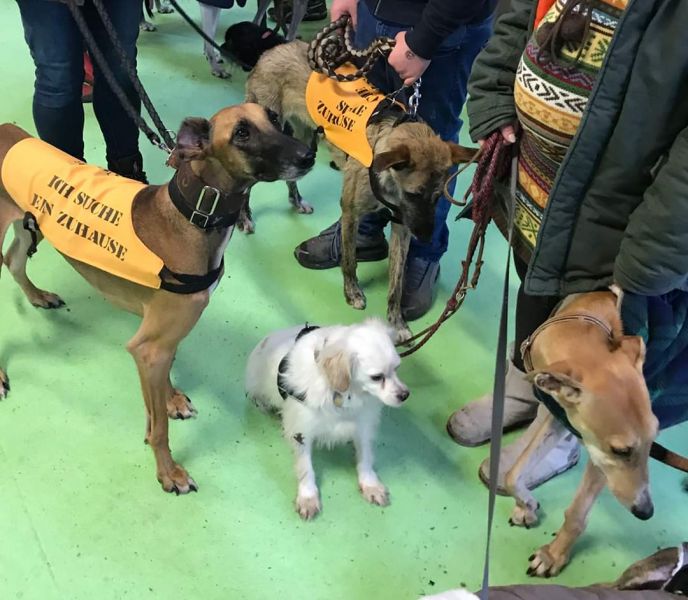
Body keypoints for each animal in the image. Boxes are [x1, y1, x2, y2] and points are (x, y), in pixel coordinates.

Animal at [0, 104, 314, 494]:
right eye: (241, 133)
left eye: (273, 117)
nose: (308, 155)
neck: (193, 216)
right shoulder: (148, 348)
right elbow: (159, 429)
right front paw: (169, 472)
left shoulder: (161, 340)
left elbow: (168, 372)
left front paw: (172, 398)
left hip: (28, 225)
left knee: (13, 260)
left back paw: (38, 295)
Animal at [245, 318, 409, 519]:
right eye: (377, 377)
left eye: (397, 368)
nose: (405, 395)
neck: (344, 393)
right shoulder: (302, 432)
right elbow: (306, 468)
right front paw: (308, 497)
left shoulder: (363, 425)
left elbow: (366, 457)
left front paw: (370, 484)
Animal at [500, 287, 659, 576]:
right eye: (622, 450)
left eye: (654, 440)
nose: (646, 512)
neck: (584, 318)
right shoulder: (559, 417)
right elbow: (513, 474)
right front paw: (526, 506)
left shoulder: (599, 460)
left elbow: (576, 514)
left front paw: (552, 556)